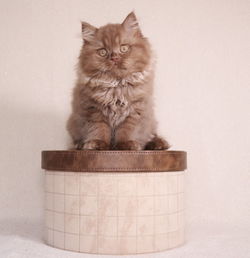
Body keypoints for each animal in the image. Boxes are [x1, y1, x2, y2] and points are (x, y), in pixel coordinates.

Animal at [67, 12, 170, 151]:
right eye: (103, 52)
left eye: (124, 48)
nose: (114, 58)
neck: (117, 86)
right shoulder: (93, 110)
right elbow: (99, 129)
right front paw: (97, 143)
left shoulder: (135, 111)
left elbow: (126, 131)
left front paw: (126, 144)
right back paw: (79, 145)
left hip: (150, 123)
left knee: (151, 136)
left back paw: (158, 144)